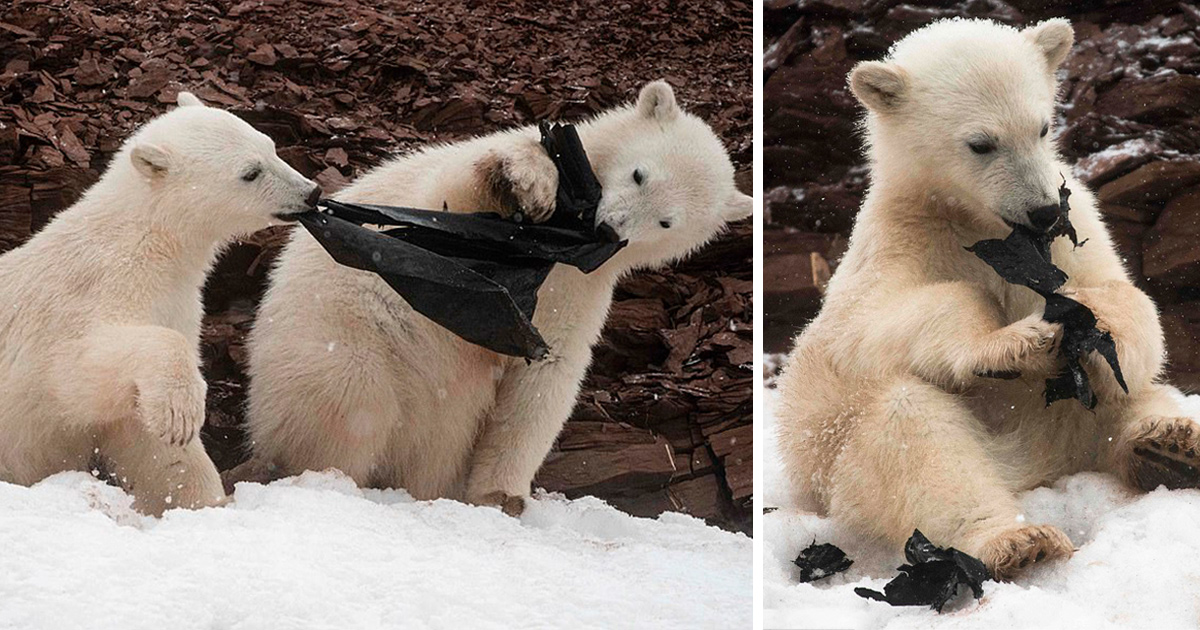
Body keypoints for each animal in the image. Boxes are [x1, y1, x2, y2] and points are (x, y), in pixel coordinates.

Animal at [0, 93, 321, 516]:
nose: (311, 192)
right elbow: (77, 372)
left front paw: (204, 500)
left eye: (271, 146)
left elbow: (151, 445)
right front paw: (181, 412)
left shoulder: (175, 302)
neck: (145, 243)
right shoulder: (85, 298)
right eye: (250, 172)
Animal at [237, 81, 748, 513]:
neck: (570, 240)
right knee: (353, 398)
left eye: (666, 221)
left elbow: (545, 372)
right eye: (640, 174)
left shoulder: (583, 287)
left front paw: (502, 496)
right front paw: (526, 180)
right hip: (340, 337)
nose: (609, 228)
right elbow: (452, 199)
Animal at [772, 18, 1195, 580]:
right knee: (911, 434)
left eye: (1042, 127)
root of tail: (1034, 464)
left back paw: (1169, 443)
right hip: (839, 454)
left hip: (1072, 414)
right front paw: (1016, 342)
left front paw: (1090, 318)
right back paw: (1017, 539)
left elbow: (1122, 295)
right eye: (980, 144)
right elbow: (864, 326)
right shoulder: (900, 238)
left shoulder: (1074, 224)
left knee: (1130, 397)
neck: (978, 221)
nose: (1042, 210)